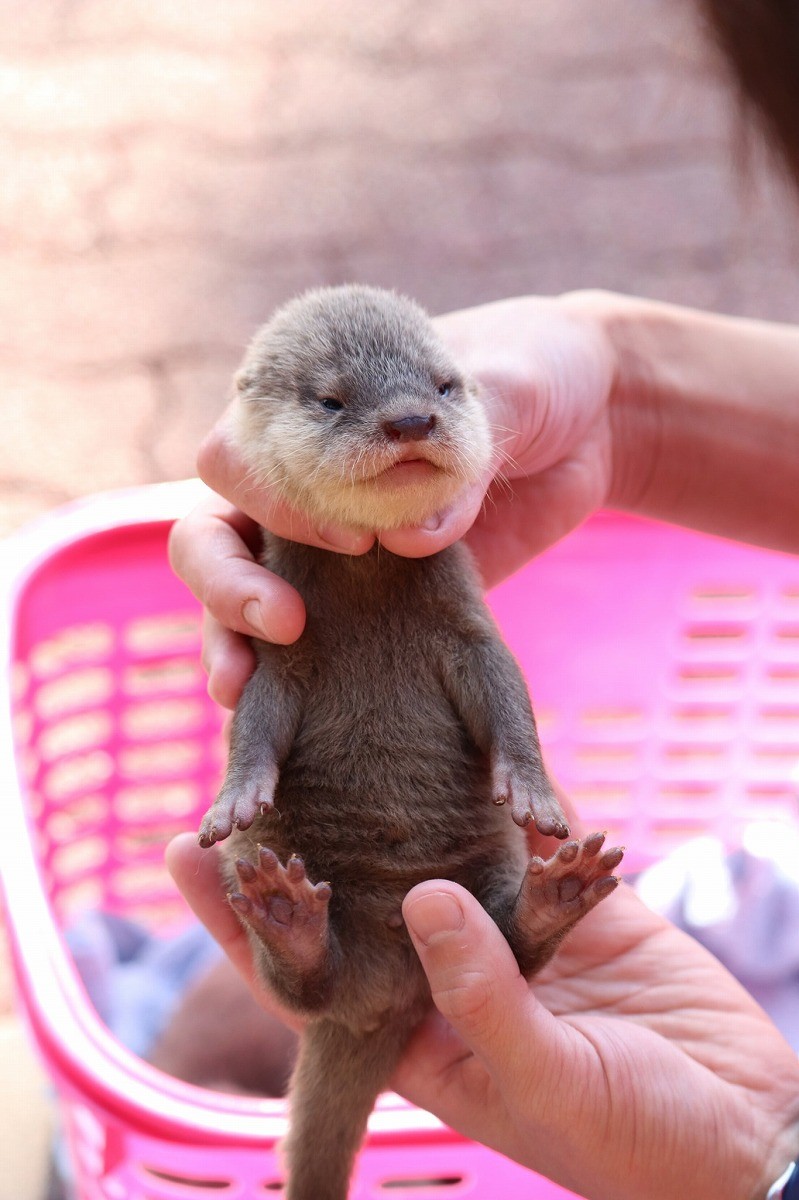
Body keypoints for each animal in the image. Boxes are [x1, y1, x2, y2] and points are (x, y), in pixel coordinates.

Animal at [197, 288, 623, 1200]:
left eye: (444, 383)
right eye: (330, 399)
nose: (409, 419)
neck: (368, 583)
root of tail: (391, 988)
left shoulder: (467, 629)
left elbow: (507, 697)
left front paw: (529, 789)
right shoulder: (278, 647)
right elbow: (255, 718)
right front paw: (238, 794)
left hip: (480, 880)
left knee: (513, 949)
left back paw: (557, 892)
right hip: (302, 959)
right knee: (304, 986)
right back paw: (287, 916)